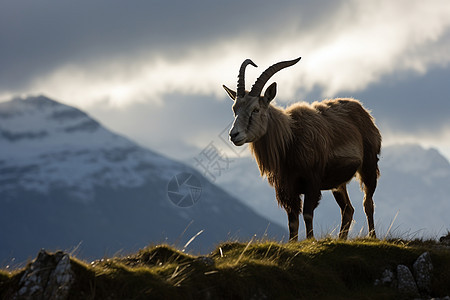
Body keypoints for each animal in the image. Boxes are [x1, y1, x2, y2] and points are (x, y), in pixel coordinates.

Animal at [221, 58, 380, 241]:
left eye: (256, 109)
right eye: (235, 109)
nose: (234, 135)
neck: (290, 139)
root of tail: (363, 112)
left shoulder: (312, 182)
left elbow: (307, 214)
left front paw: (311, 240)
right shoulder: (287, 189)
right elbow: (292, 221)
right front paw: (293, 242)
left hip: (368, 166)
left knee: (367, 203)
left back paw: (372, 236)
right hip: (338, 184)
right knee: (348, 209)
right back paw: (342, 238)